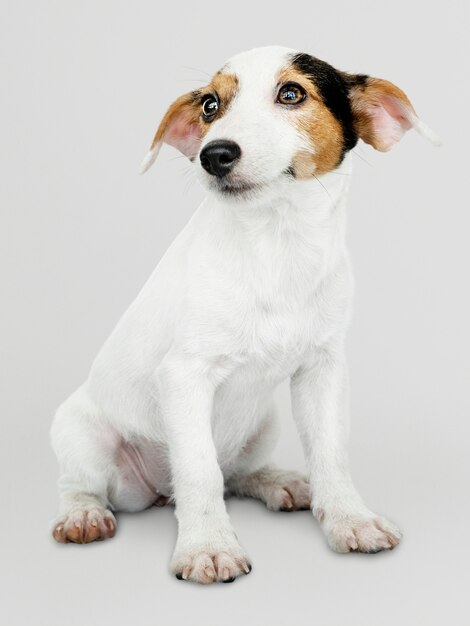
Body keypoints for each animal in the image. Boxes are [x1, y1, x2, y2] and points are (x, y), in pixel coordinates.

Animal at [49, 46, 438, 584]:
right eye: (210, 105)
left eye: (292, 93)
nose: (214, 154)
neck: (277, 244)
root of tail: (156, 491)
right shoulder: (185, 376)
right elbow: (199, 470)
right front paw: (208, 546)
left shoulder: (323, 369)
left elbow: (331, 454)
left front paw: (349, 519)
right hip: (80, 433)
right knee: (83, 484)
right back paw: (83, 514)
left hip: (263, 424)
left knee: (236, 475)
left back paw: (279, 482)